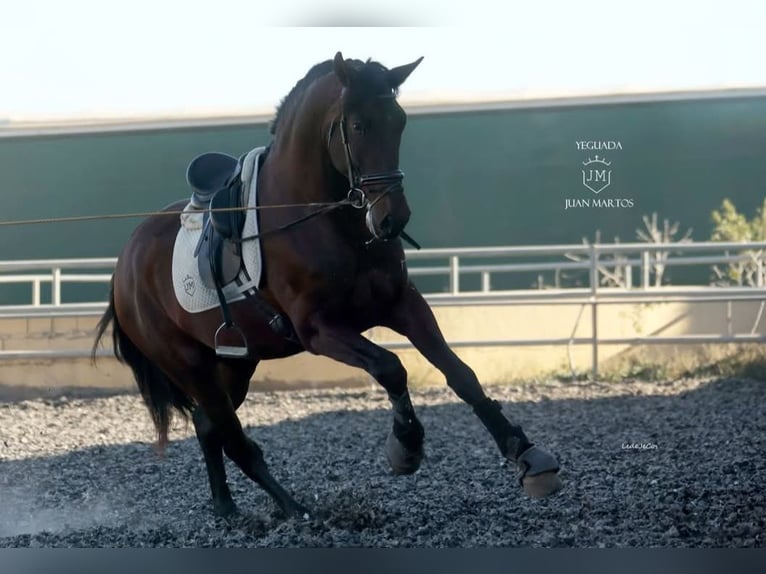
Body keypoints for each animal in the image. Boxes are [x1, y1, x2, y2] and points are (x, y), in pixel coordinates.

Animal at [91, 53, 564, 520]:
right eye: (357, 126)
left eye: (399, 121)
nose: (392, 219)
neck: (325, 219)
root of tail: (124, 264)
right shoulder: (320, 330)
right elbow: (391, 367)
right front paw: (406, 446)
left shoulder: (402, 304)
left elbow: (460, 373)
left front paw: (525, 455)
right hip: (190, 365)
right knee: (233, 436)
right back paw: (295, 510)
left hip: (236, 363)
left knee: (210, 428)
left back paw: (227, 509)